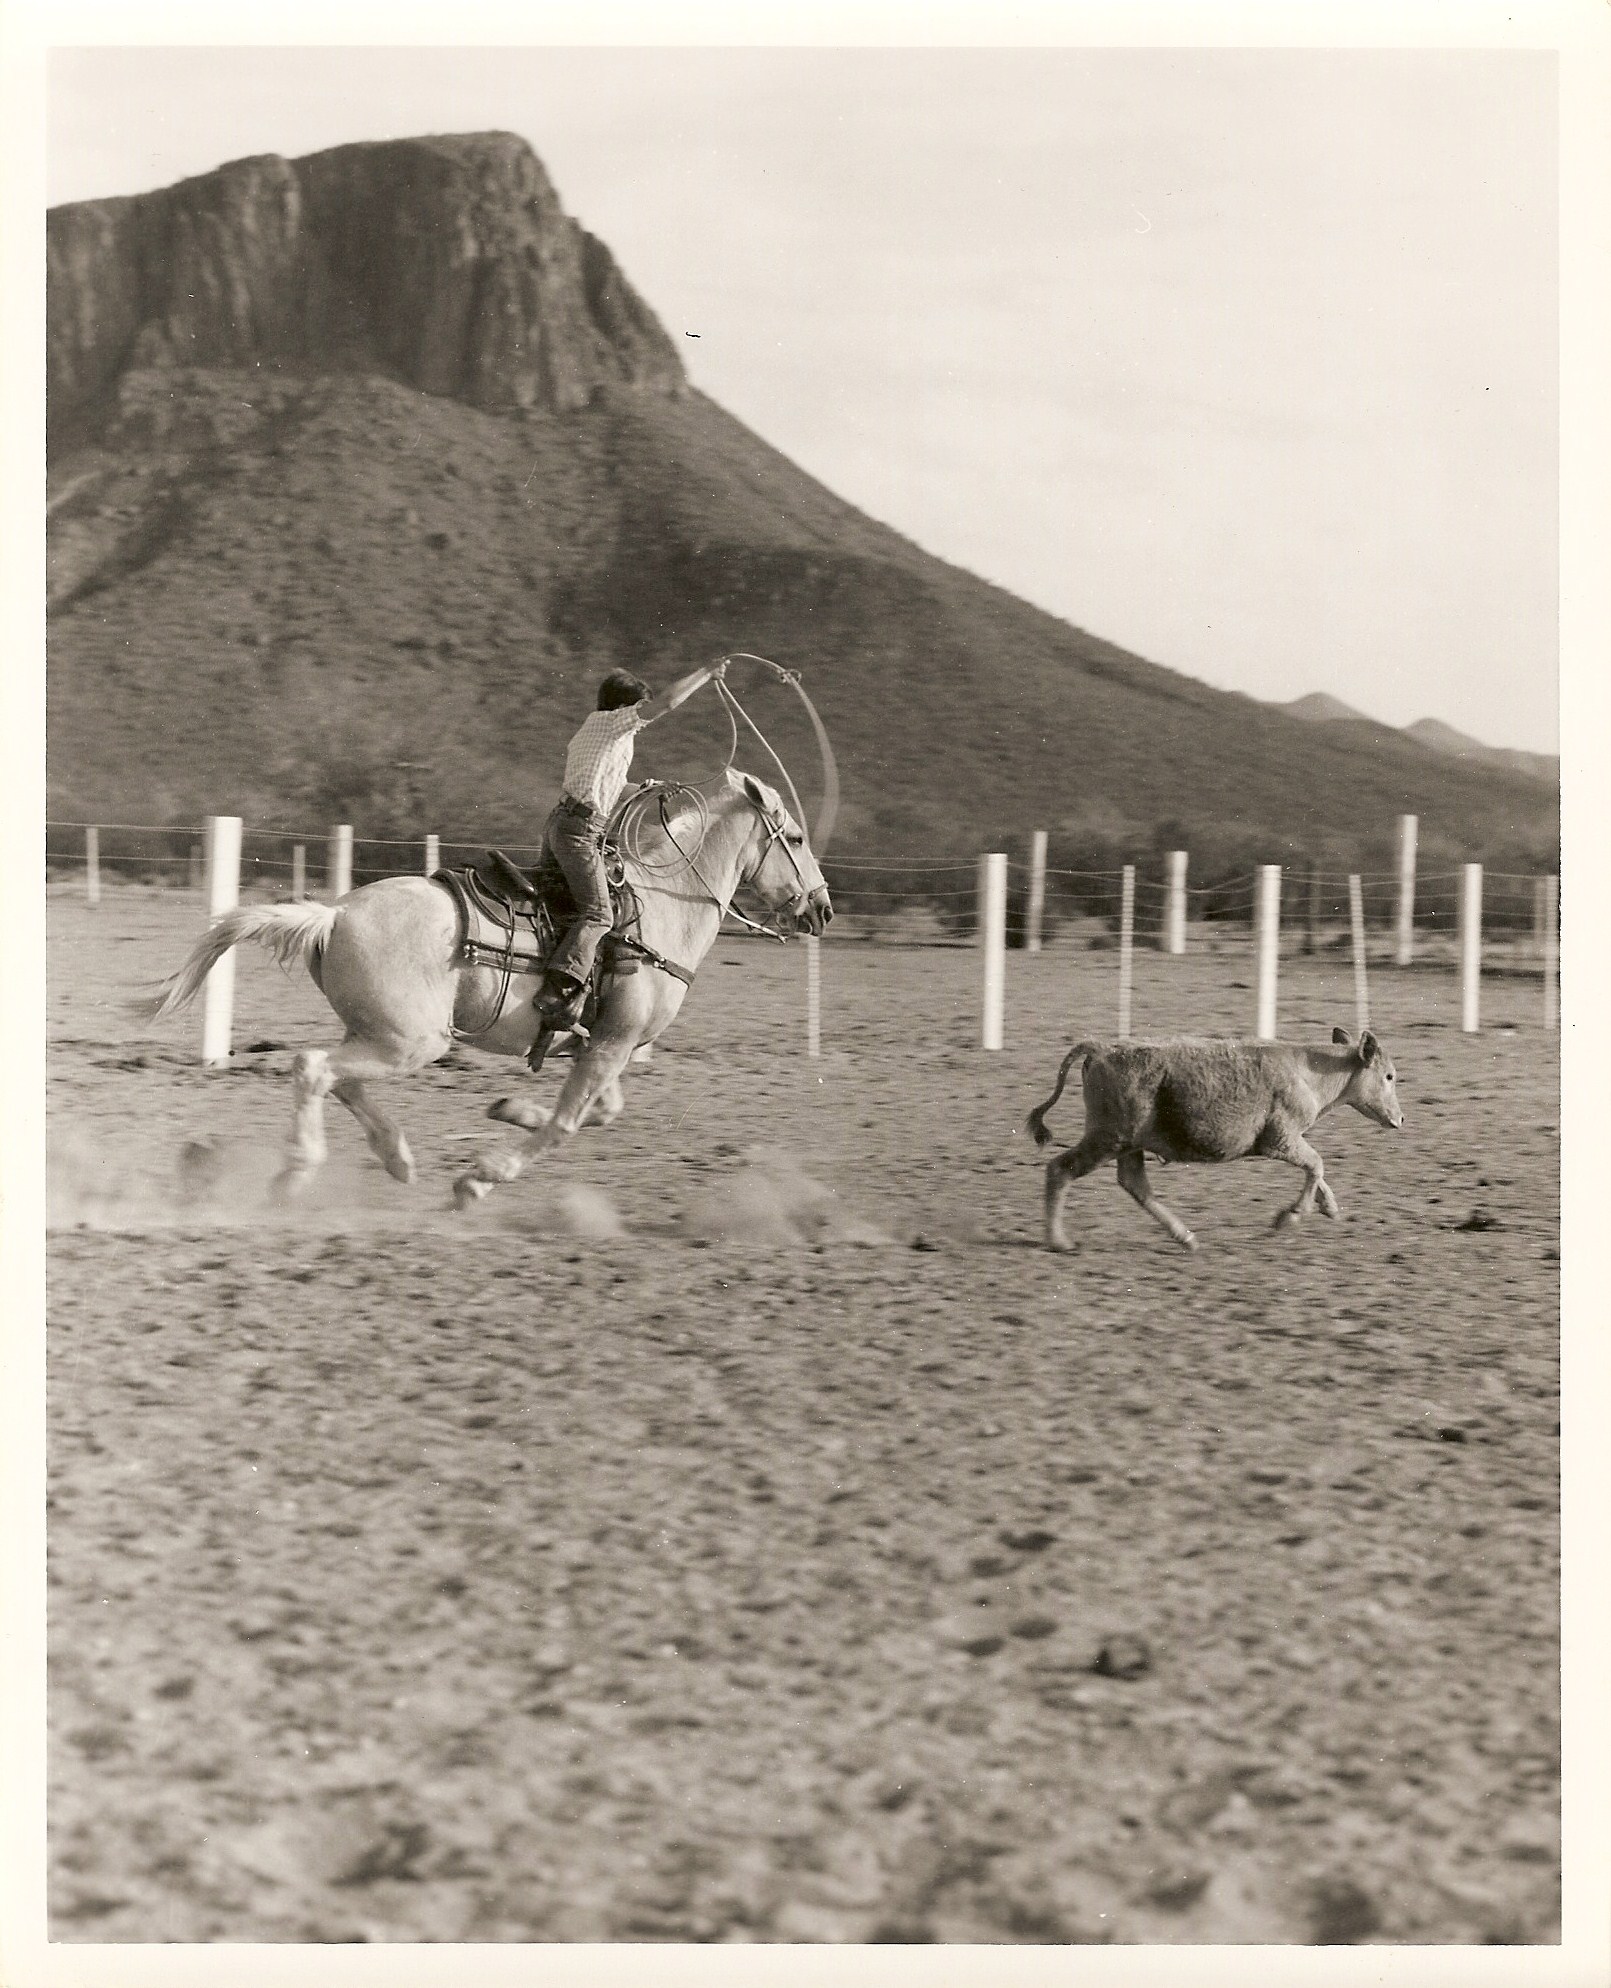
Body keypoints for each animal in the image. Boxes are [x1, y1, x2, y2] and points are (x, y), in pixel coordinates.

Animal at [145, 770, 832, 1208]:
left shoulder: (602, 1043)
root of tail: (334, 914)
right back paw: (297, 1174)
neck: (661, 905)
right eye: (796, 838)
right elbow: (567, 1125)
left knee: (344, 1080)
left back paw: (397, 1158)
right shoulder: (612, 1043)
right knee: (314, 1068)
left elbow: (600, 1111)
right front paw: (480, 1178)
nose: (821, 908)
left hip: (379, 1032)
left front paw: (506, 1110)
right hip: (412, 1041)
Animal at [1025, 1026, 1403, 1252]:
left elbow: (1317, 1170)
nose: (1400, 1119)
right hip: (1108, 1137)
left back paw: (1185, 1236)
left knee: (1134, 1184)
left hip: (1128, 1143)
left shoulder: (1291, 1139)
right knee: (1060, 1170)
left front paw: (1329, 1206)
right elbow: (1316, 1164)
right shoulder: (1279, 1139)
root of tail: (1101, 1048)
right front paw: (1290, 1217)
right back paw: (1058, 1240)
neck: (1309, 1072)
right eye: (1389, 1076)